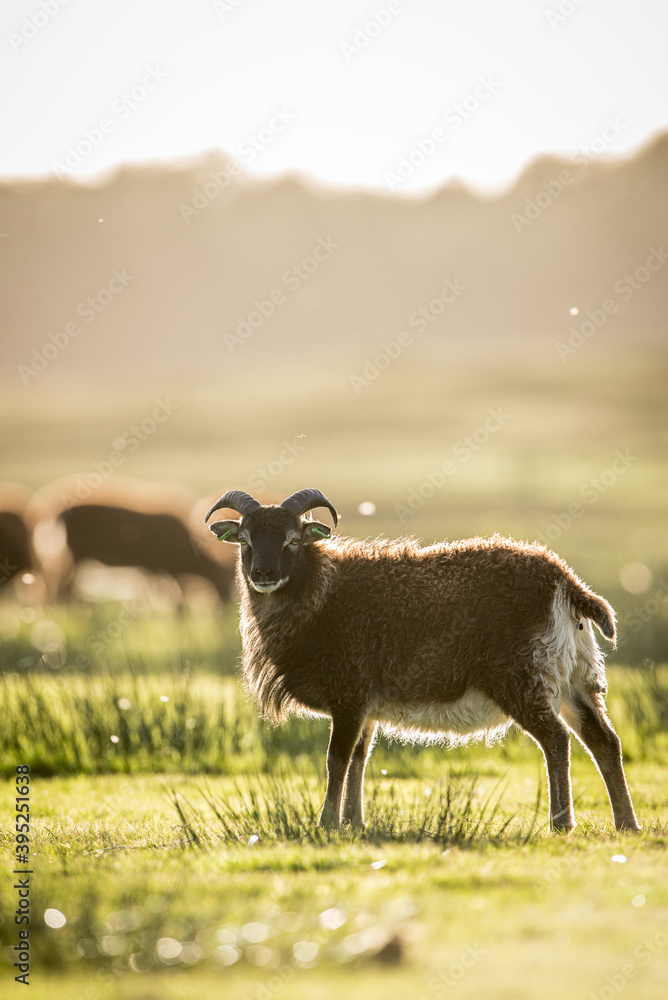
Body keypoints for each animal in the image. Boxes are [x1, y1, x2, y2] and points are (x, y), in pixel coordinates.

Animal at [205, 487, 640, 834]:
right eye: (244, 539)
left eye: (293, 540)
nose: (263, 572)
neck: (319, 596)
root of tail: (565, 582)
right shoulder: (366, 706)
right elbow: (360, 759)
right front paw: (354, 823)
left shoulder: (349, 696)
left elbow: (337, 760)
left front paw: (327, 824)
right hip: (574, 679)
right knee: (604, 741)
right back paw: (626, 824)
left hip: (523, 677)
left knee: (557, 740)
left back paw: (561, 824)